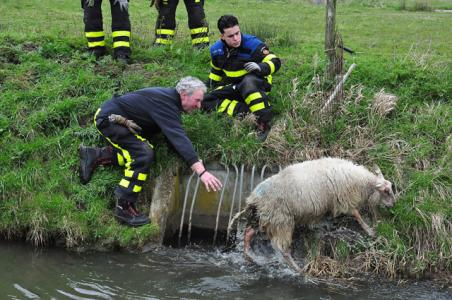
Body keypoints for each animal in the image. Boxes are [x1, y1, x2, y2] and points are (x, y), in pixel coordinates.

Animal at [230, 158, 396, 274]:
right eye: (387, 191)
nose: (394, 204)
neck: (361, 181)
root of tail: (254, 199)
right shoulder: (343, 200)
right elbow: (356, 213)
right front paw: (370, 230)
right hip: (281, 220)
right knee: (281, 249)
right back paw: (298, 269)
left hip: (265, 218)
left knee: (248, 232)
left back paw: (249, 256)